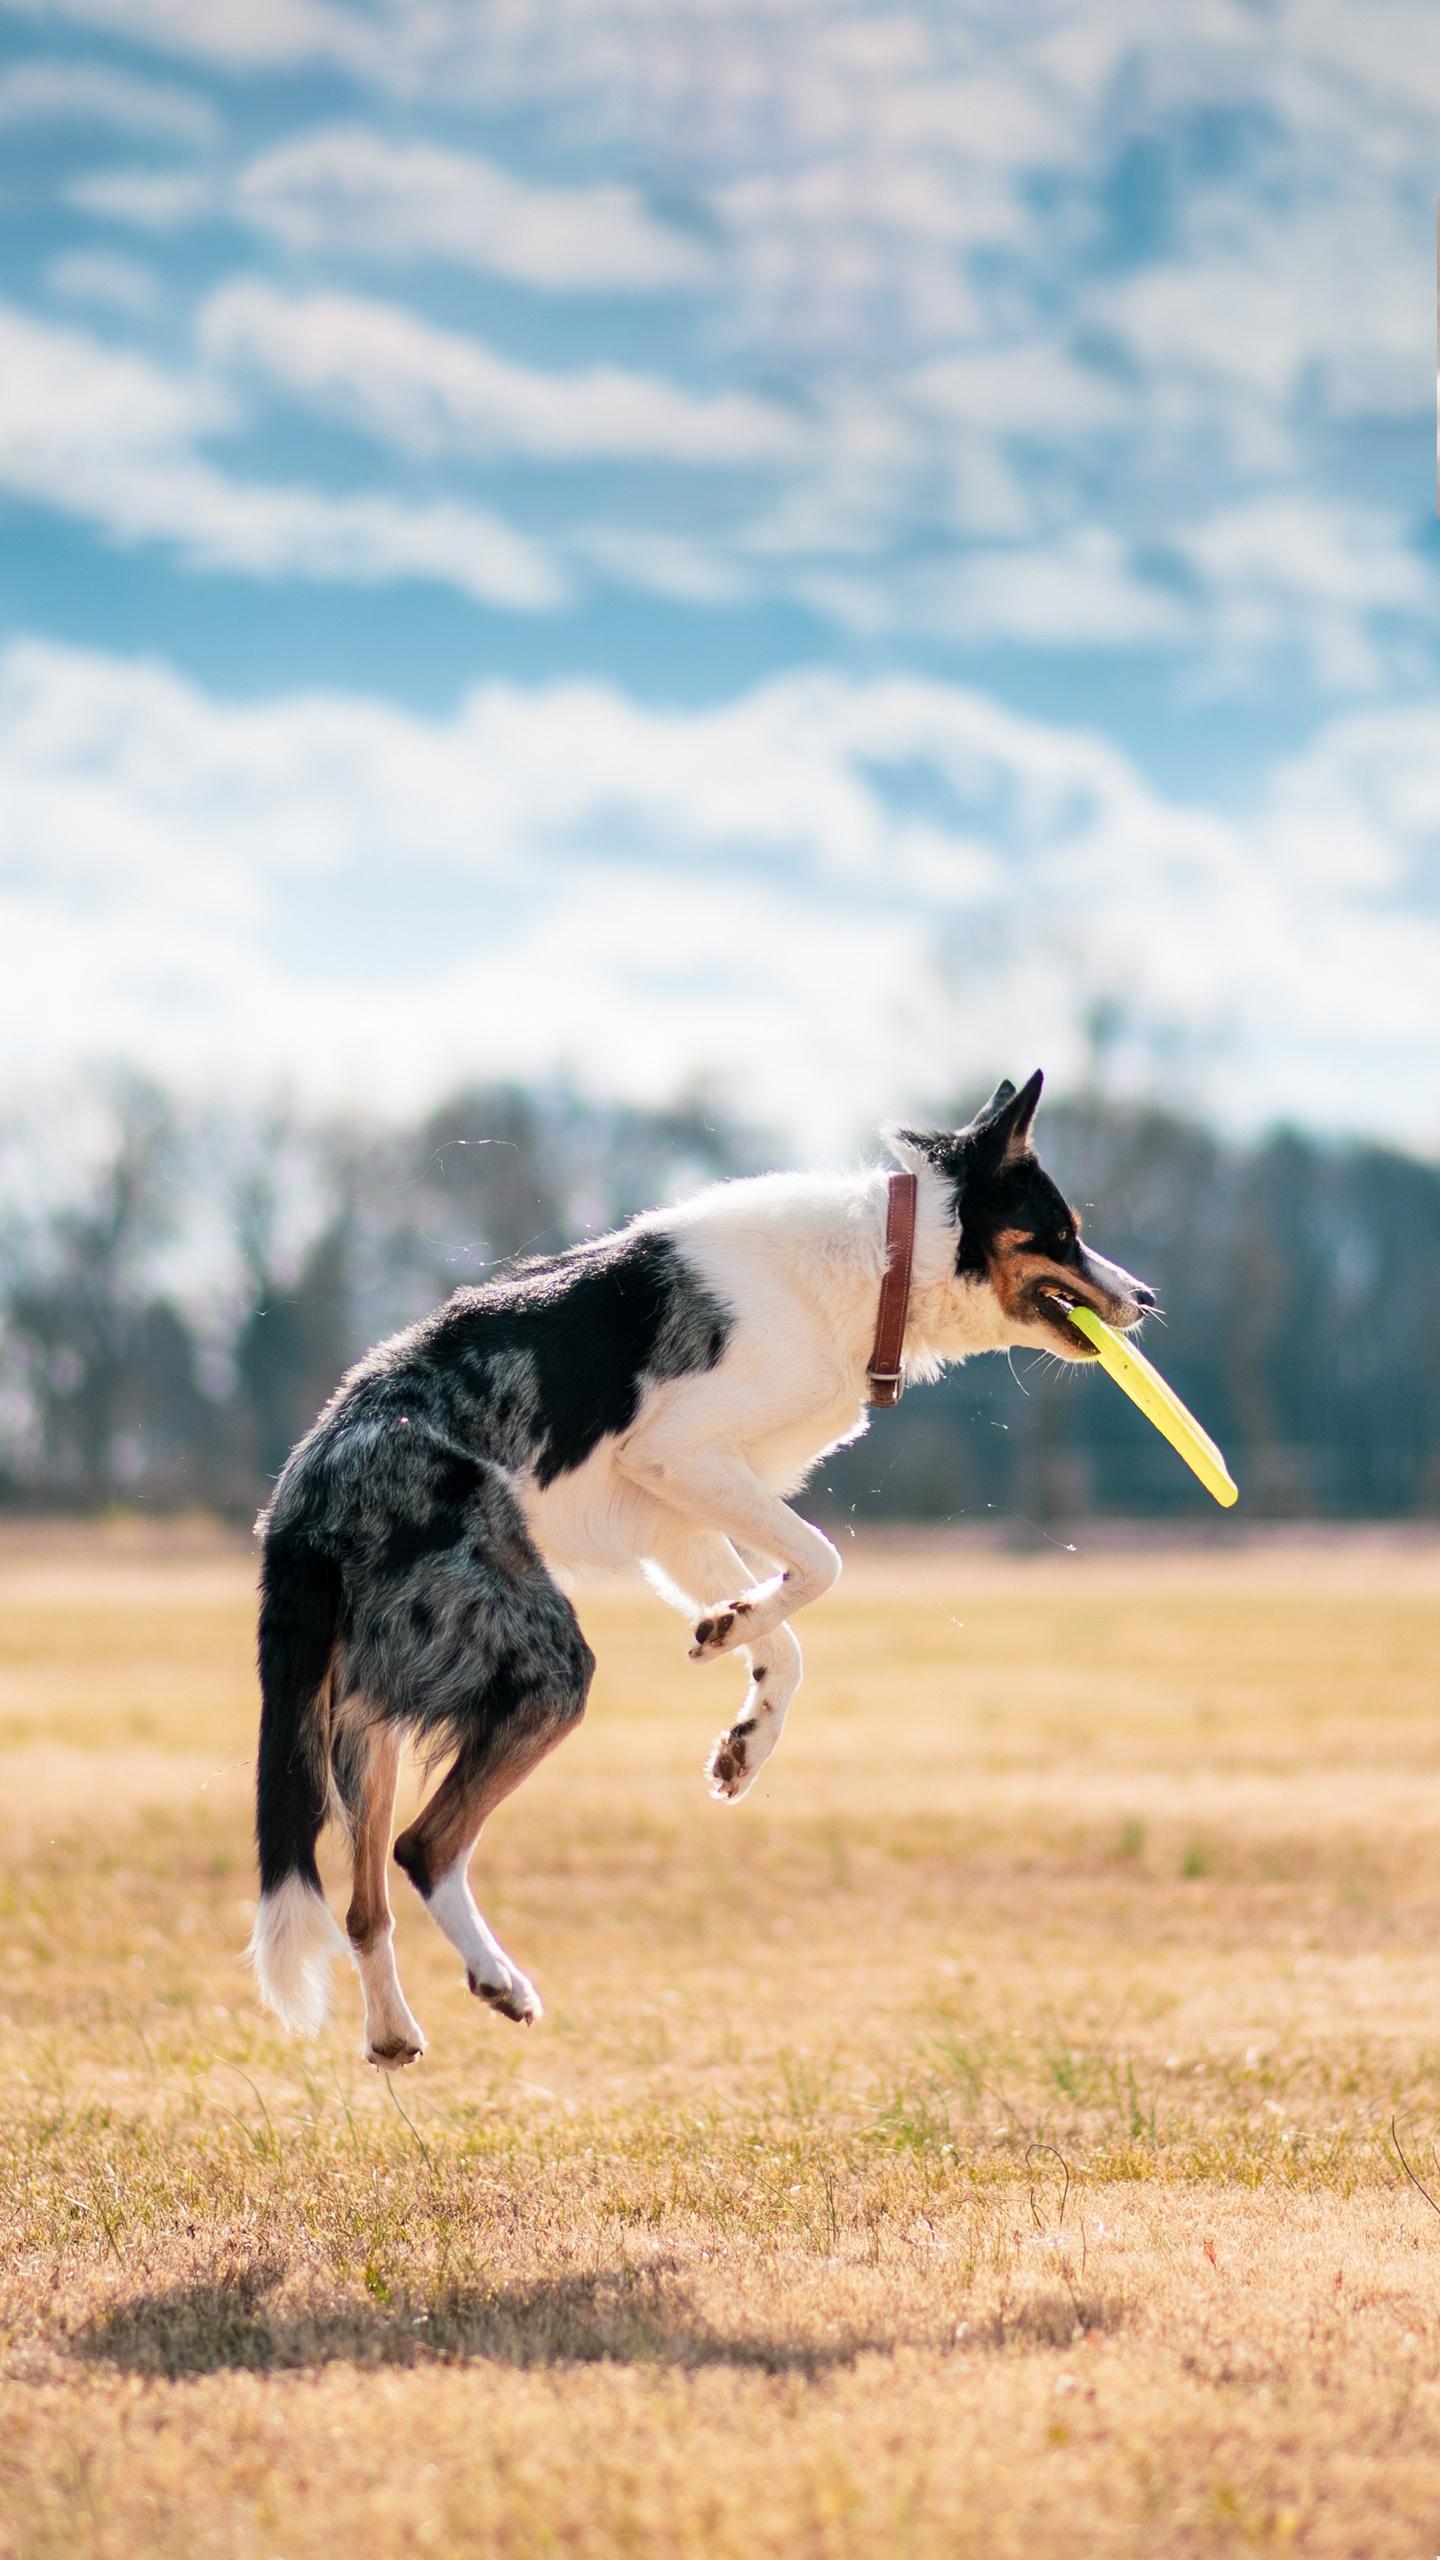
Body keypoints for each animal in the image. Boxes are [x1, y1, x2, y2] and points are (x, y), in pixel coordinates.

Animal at [243, 1070, 1142, 2068]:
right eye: (1063, 1231)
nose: (1146, 1296)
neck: (885, 1262)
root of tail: (305, 1493)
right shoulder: (682, 1457)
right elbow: (823, 1564)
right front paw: (732, 1633)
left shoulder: (681, 1515)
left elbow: (786, 1642)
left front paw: (743, 1721)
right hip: (542, 1665)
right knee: (423, 1849)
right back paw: (496, 1979)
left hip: (369, 1719)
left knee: (365, 1901)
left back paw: (394, 2032)